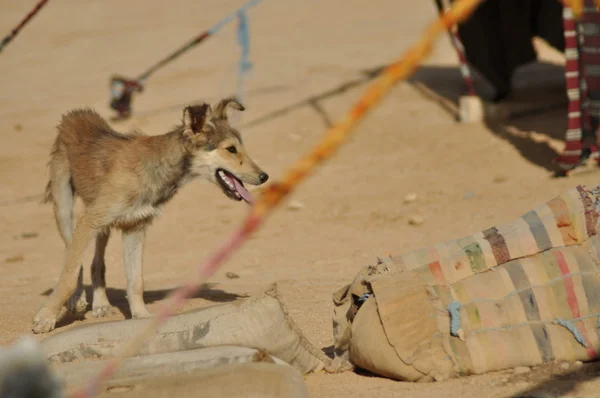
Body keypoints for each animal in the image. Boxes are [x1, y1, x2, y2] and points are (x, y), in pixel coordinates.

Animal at [31, 98, 268, 334]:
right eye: (231, 149)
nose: (264, 177)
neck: (156, 168)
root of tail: (75, 113)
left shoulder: (135, 227)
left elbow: (136, 281)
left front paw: (141, 316)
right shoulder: (90, 221)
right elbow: (69, 275)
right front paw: (46, 317)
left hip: (101, 225)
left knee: (96, 264)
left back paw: (101, 304)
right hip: (66, 210)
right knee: (71, 255)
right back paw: (76, 299)